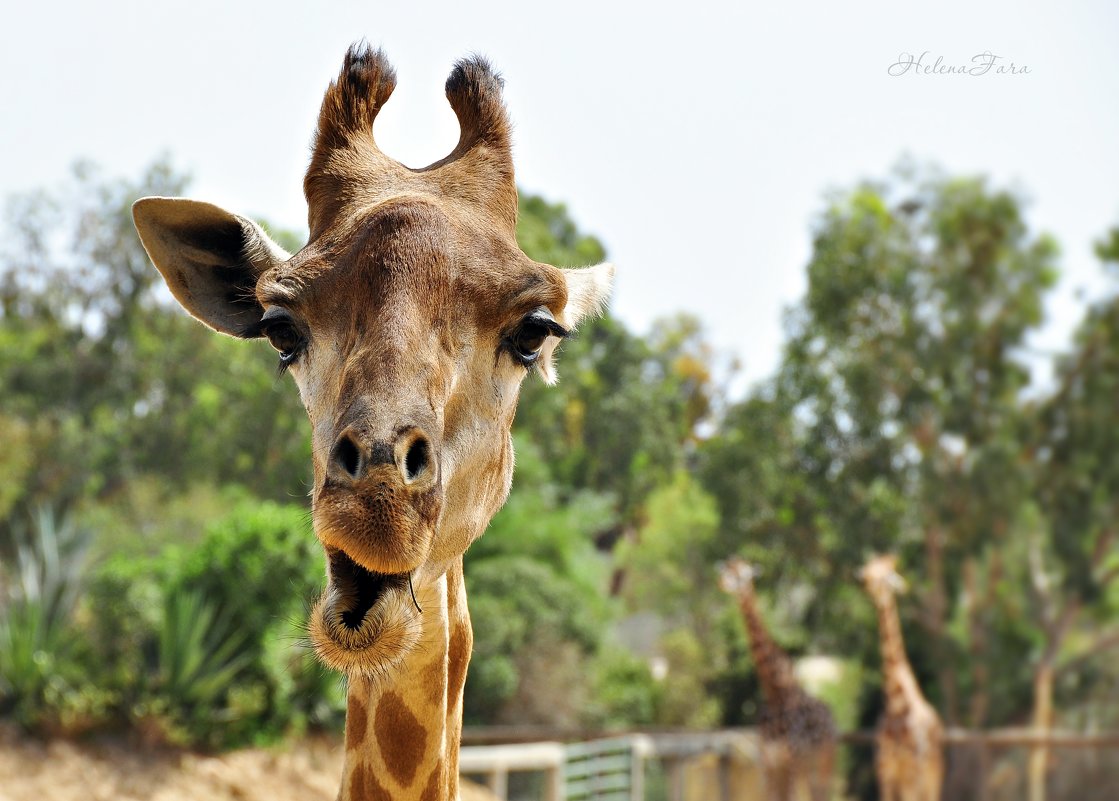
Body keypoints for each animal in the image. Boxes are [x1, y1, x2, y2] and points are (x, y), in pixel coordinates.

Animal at [720, 557, 837, 801]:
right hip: (805, 765)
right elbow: (771, 796)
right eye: (727, 570)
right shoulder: (769, 760)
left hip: (824, 758)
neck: (776, 693)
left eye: (743, 575)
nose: (723, 583)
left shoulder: (791, 758)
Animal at [854, 554, 944, 801]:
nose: (860, 578)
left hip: (931, 775)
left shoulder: (911, 775)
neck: (895, 705)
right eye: (868, 567)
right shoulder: (885, 772)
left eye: (886, 576)